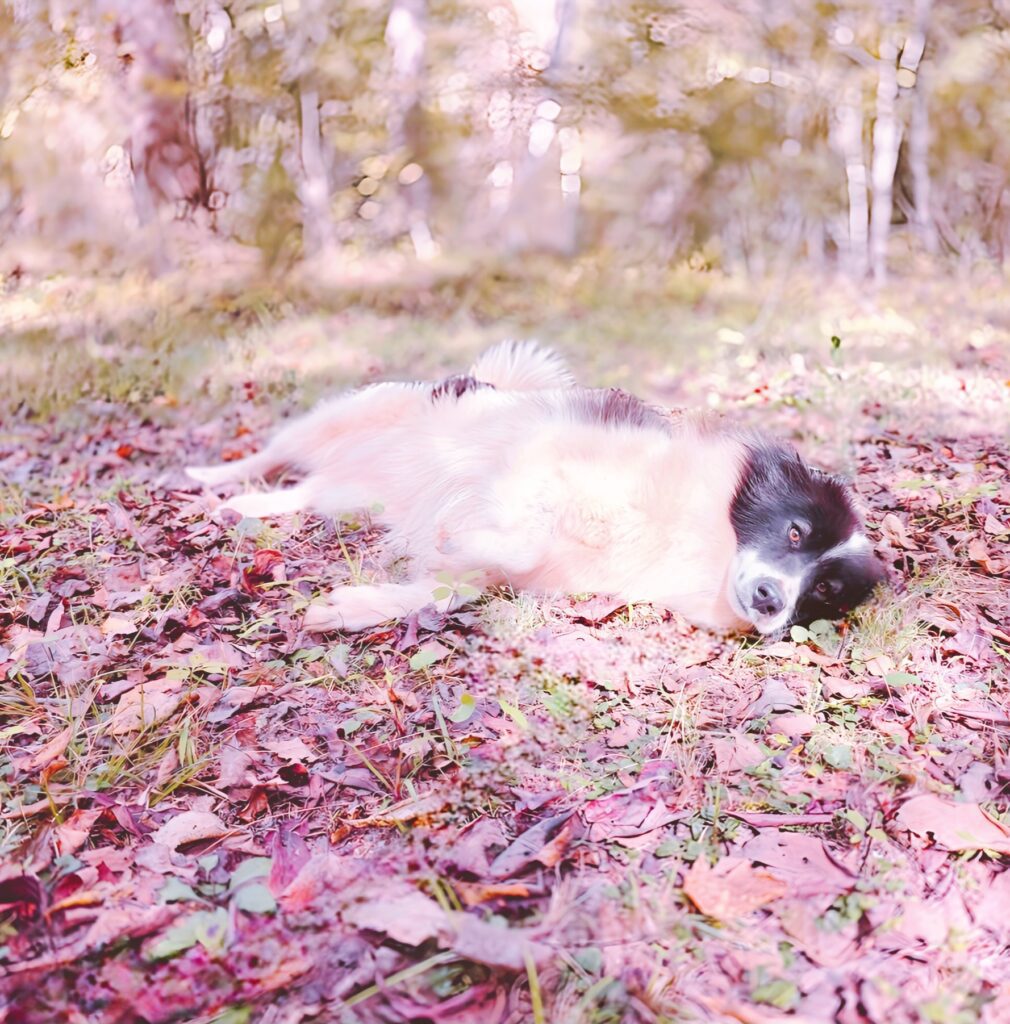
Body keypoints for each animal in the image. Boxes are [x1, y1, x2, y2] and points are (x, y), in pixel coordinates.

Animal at [186, 342, 883, 635]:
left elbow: (449, 587)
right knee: (275, 452)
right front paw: (457, 532)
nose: (771, 600)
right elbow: (513, 533)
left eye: (824, 591)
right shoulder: (531, 465)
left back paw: (244, 509)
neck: (692, 538)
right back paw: (206, 482)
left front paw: (349, 608)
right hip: (348, 417)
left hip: (355, 491)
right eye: (794, 531)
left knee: (301, 493)